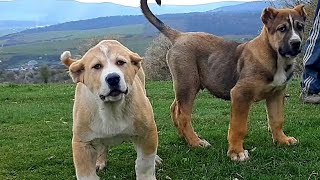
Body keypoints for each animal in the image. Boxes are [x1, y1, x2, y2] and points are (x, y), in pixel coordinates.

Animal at [61, 40, 160, 179]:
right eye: (97, 66)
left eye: (120, 62)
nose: (113, 78)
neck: (111, 108)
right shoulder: (82, 143)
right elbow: (86, 174)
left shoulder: (146, 132)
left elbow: (144, 164)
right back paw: (100, 161)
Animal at [141, 0, 306, 160]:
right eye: (282, 29)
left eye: (300, 27)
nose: (296, 43)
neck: (275, 57)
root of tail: (180, 36)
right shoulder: (240, 94)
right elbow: (238, 127)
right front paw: (236, 152)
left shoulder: (276, 94)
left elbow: (277, 119)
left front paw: (282, 140)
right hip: (188, 84)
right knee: (183, 115)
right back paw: (195, 142)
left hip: (186, 85)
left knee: (175, 108)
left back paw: (185, 137)